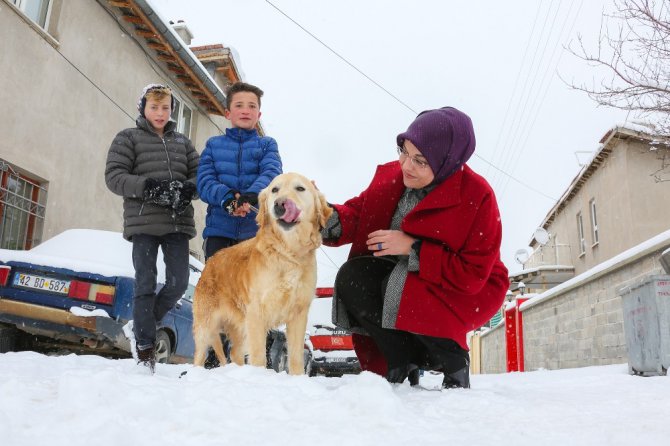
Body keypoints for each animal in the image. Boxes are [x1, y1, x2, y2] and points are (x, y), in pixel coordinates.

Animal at [192, 172, 334, 374]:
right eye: (275, 189)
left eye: (300, 188)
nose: (280, 204)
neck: (287, 254)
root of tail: (209, 262)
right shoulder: (256, 313)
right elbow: (259, 356)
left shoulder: (298, 314)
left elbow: (296, 358)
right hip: (206, 325)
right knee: (199, 355)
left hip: (238, 326)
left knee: (234, 353)